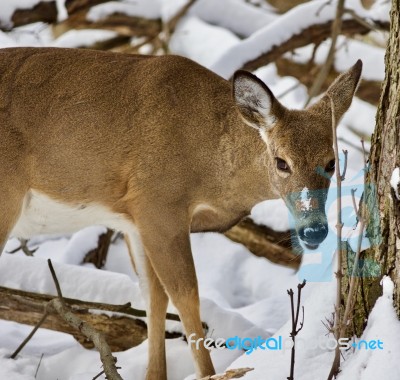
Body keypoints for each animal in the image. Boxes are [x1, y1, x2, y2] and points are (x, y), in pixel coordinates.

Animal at [0, 48, 362, 380]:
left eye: (331, 162)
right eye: (281, 162)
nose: (314, 230)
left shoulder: (134, 219)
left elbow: (154, 297)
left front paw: (154, 375)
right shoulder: (159, 204)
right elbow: (187, 295)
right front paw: (210, 374)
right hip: (7, 196)